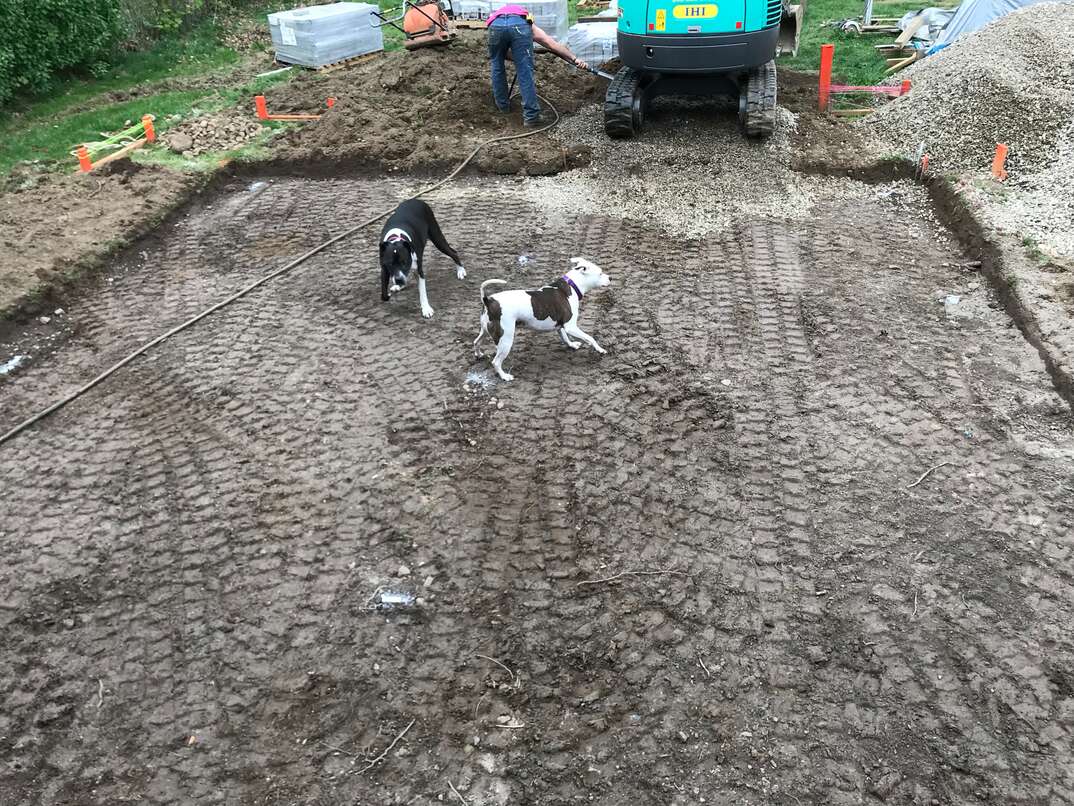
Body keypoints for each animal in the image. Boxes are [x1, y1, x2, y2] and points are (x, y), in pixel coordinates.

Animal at [472, 260, 614, 382]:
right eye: (600, 273)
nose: (611, 278)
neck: (572, 286)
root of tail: (488, 301)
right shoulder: (570, 326)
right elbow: (590, 338)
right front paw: (600, 349)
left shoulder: (561, 325)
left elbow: (565, 337)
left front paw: (572, 345)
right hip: (505, 340)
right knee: (496, 362)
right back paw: (504, 376)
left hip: (486, 330)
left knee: (476, 342)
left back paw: (479, 354)